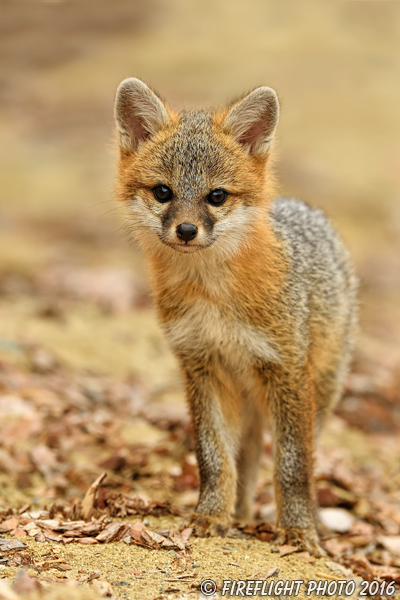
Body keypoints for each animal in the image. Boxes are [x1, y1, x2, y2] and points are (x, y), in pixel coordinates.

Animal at [114, 77, 358, 556]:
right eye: (163, 192)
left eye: (216, 197)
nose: (186, 231)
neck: (213, 296)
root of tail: (307, 208)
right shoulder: (200, 367)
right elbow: (213, 456)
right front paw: (212, 515)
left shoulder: (286, 371)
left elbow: (292, 464)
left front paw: (298, 530)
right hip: (246, 399)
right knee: (246, 457)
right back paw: (241, 514)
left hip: (316, 394)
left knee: (301, 455)